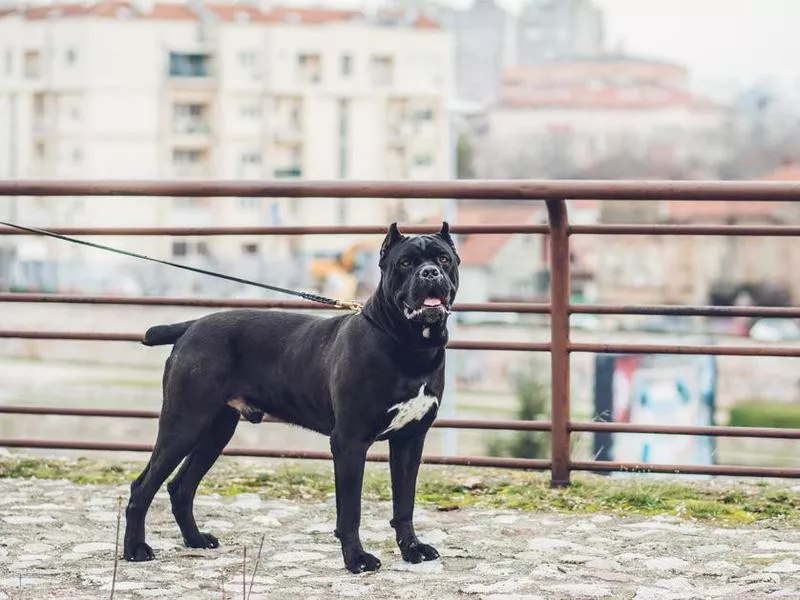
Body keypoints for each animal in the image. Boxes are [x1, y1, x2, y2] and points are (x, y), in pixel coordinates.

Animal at [125, 221, 462, 572]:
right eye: (406, 263)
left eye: (443, 259)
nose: (430, 273)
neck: (409, 345)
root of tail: (191, 326)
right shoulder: (349, 442)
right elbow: (350, 511)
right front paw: (356, 558)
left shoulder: (410, 440)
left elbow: (404, 503)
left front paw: (412, 549)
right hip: (184, 422)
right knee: (143, 486)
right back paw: (136, 548)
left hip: (216, 429)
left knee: (181, 486)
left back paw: (196, 540)